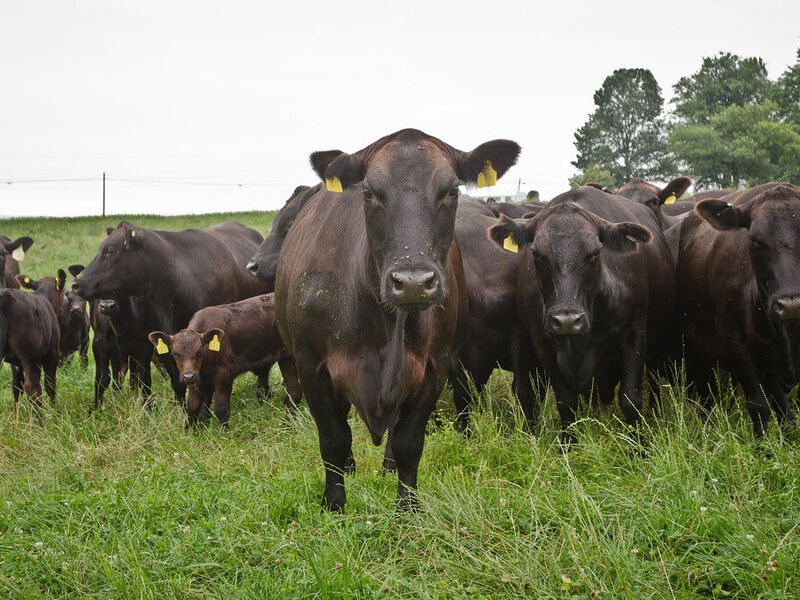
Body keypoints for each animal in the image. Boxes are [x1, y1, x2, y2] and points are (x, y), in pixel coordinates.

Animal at [0, 269, 66, 407]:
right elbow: (50, 385)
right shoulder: (52, 355)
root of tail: (5, 297)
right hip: (30, 355)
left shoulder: (15, 362)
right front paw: (54, 409)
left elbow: (16, 386)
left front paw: (15, 412)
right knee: (33, 388)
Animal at [148, 293, 300, 429]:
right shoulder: (197, 380)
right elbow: (193, 408)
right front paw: (191, 431)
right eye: (174, 353)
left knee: (294, 389)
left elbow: (220, 407)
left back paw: (288, 422)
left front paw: (224, 432)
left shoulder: (224, 374)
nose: (188, 376)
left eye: (199, 352)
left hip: (289, 357)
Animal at [275, 128, 519, 510]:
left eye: (451, 191)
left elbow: (409, 442)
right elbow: (333, 439)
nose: (413, 282)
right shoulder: (310, 363)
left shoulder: (435, 365)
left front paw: (407, 507)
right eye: (369, 192)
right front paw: (335, 504)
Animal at [488, 187, 675, 442]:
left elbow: (630, 399)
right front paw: (568, 445)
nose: (567, 321)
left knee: (655, 382)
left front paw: (638, 445)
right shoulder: (543, 341)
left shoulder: (634, 333)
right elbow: (565, 402)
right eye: (537, 254)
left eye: (595, 253)